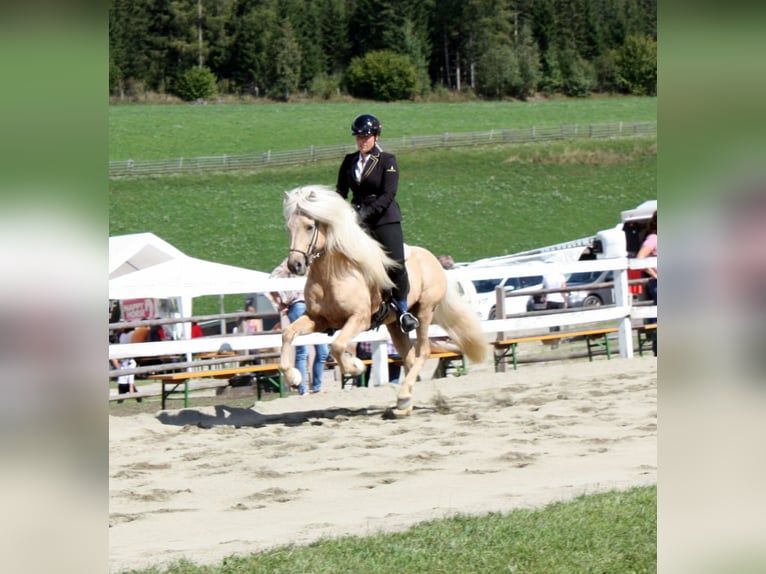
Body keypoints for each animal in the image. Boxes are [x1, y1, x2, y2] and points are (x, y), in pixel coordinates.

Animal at [280, 187, 486, 416]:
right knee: (409, 357)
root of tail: (434, 260)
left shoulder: (359, 319)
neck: (332, 274)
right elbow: (287, 334)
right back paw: (404, 403)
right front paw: (294, 378)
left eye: (309, 227)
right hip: (395, 325)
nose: (295, 265)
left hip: (424, 311)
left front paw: (356, 366)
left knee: (423, 352)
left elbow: (337, 345)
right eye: (289, 227)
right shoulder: (318, 319)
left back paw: (403, 397)